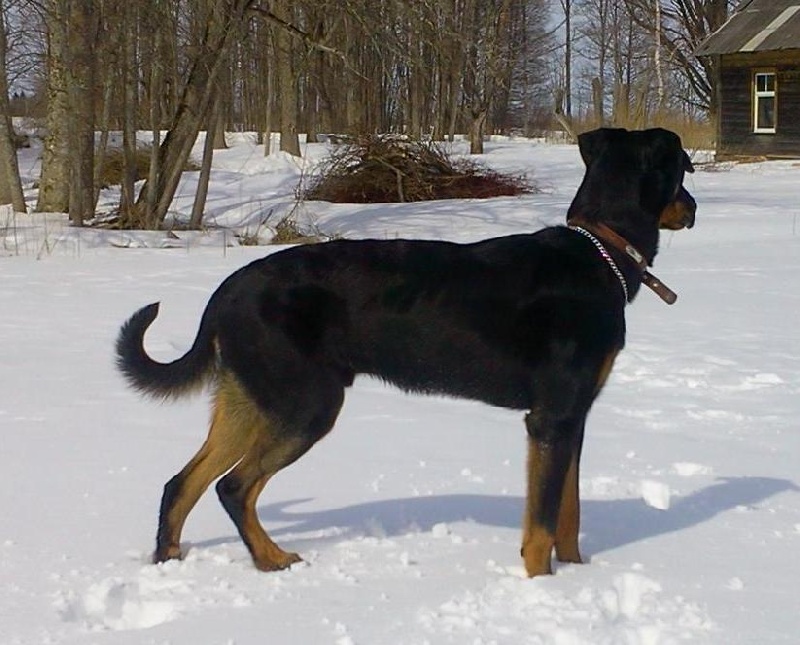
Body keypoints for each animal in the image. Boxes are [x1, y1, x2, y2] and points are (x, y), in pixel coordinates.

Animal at [117, 128, 692, 576]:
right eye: (683, 170)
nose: (691, 209)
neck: (601, 252)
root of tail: (226, 293)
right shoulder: (552, 417)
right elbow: (543, 524)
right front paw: (542, 587)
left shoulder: (573, 417)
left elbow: (568, 514)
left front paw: (577, 575)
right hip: (305, 403)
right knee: (234, 487)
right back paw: (271, 560)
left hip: (251, 398)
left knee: (182, 483)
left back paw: (169, 560)